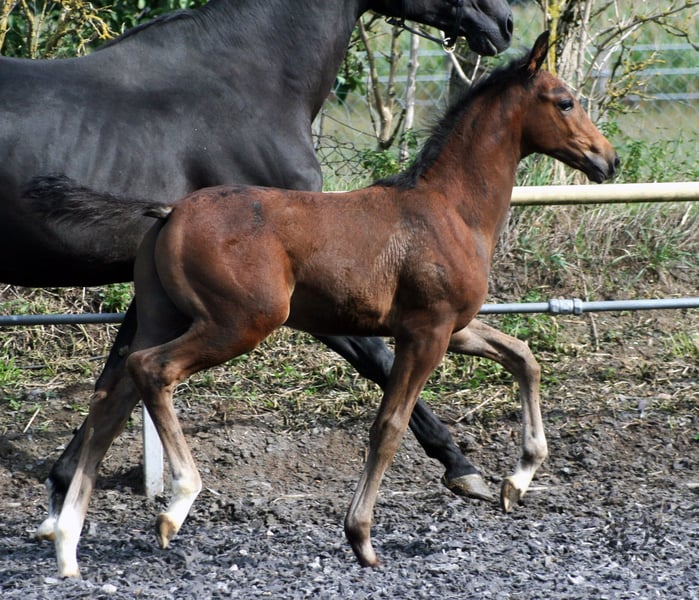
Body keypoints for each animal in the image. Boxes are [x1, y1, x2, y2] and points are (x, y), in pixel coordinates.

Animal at [2, 0, 514, 540]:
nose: (504, 23)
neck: (249, 85)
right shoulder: (303, 295)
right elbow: (380, 360)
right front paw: (463, 467)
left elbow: (117, 370)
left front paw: (62, 491)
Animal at [51, 32, 619, 577]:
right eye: (565, 102)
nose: (608, 160)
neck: (449, 210)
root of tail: (169, 213)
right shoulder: (427, 332)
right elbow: (389, 427)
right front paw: (361, 537)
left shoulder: (451, 327)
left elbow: (524, 357)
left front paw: (517, 480)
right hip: (239, 322)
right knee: (152, 370)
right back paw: (176, 503)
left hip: (162, 316)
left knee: (111, 398)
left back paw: (66, 545)